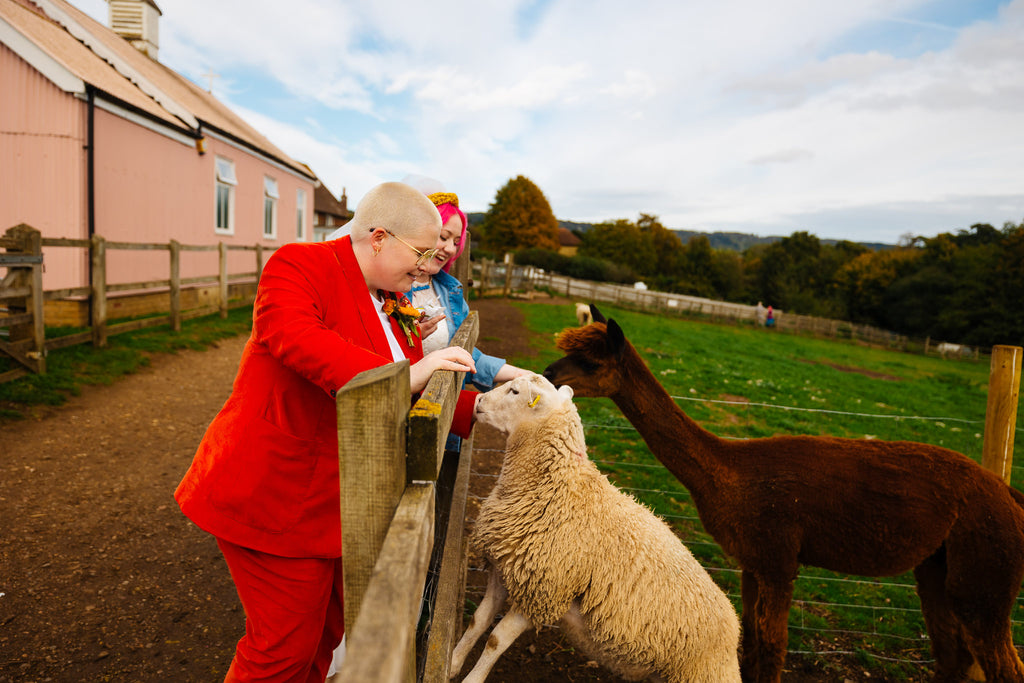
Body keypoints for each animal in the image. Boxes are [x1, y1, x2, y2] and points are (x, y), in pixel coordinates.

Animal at [452, 374, 741, 683]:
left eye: (515, 391)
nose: (479, 401)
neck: (555, 488)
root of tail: (734, 624)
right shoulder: (503, 570)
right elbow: (477, 621)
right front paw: (452, 662)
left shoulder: (545, 593)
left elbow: (496, 640)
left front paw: (472, 679)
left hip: (704, 673)